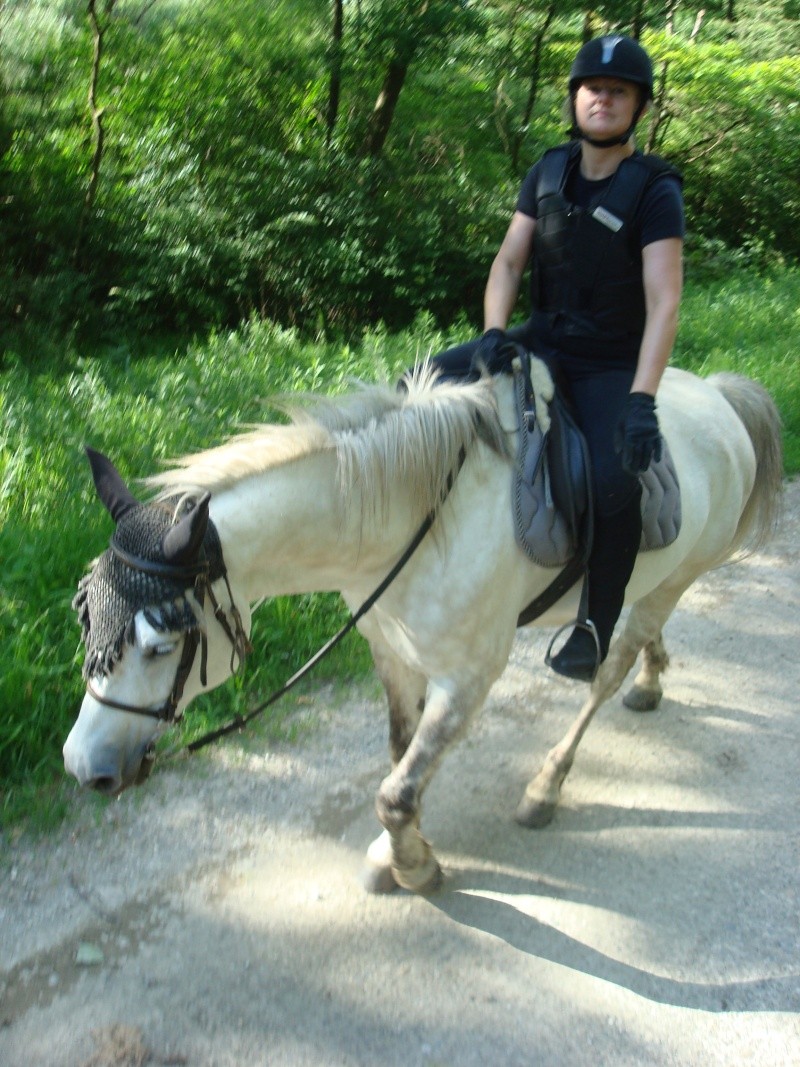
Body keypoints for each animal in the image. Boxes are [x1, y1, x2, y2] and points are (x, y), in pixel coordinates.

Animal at [62, 362, 785, 896]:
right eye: (86, 618)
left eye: (161, 645)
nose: (81, 766)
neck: (415, 523)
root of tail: (719, 395)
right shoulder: (392, 652)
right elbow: (400, 755)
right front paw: (397, 852)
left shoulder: (467, 678)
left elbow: (396, 791)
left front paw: (413, 865)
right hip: (651, 582)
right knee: (638, 632)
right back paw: (652, 680)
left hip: (678, 576)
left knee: (607, 671)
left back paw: (548, 782)